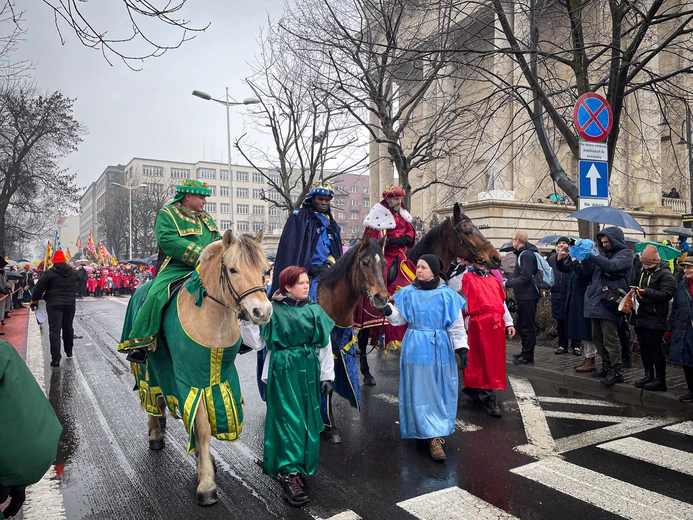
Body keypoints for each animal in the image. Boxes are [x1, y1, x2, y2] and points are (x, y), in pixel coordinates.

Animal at [128, 230, 272, 506]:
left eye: (264, 270)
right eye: (233, 269)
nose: (262, 311)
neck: (211, 316)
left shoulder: (220, 379)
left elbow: (209, 421)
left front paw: (206, 462)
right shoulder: (192, 379)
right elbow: (202, 428)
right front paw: (206, 484)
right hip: (147, 367)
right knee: (150, 394)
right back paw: (155, 433)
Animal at [316, 234, 392, 440]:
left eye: (384, 263)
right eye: (364, 262)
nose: (382, 299)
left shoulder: (338, 345)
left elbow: (330, 380)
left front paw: (329, 424)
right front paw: (328, 425)